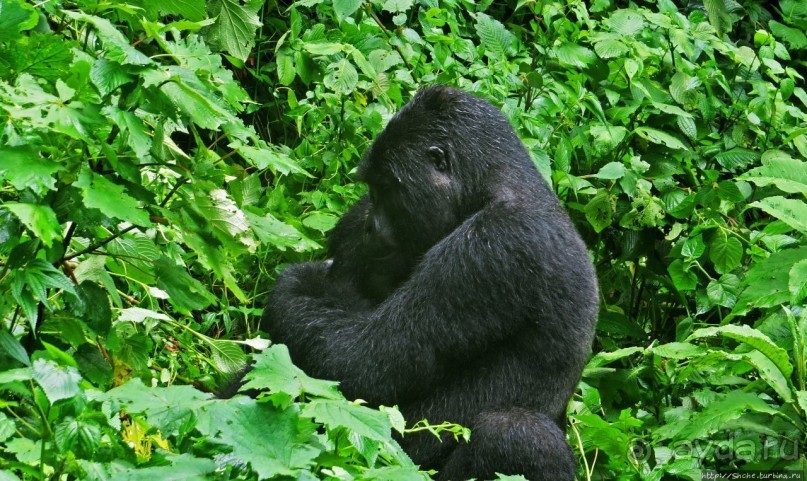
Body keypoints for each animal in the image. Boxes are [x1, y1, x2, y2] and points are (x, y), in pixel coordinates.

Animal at [266, 86, 600, 480]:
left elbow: (360, 363)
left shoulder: (497, 245)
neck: (495, 184)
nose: (370, 226)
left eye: (387, 189)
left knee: (515, 434)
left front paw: (294, 284)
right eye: (372, 190)